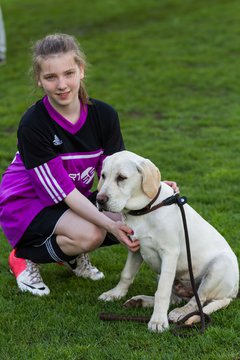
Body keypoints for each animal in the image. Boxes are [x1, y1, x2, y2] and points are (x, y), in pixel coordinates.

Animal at [96, 151, 239, 332]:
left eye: (121, 177)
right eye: (103, 176)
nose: (99, 200)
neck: (145, 211)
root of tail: (233, 293)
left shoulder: (170, 253)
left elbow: (162, 292)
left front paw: (158, 321)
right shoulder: (135, 248)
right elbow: (126, 274)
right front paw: (115, 294)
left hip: (219, 266)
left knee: (197, 300)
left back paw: (180, 313)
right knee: (175, 298)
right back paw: (140, 301)